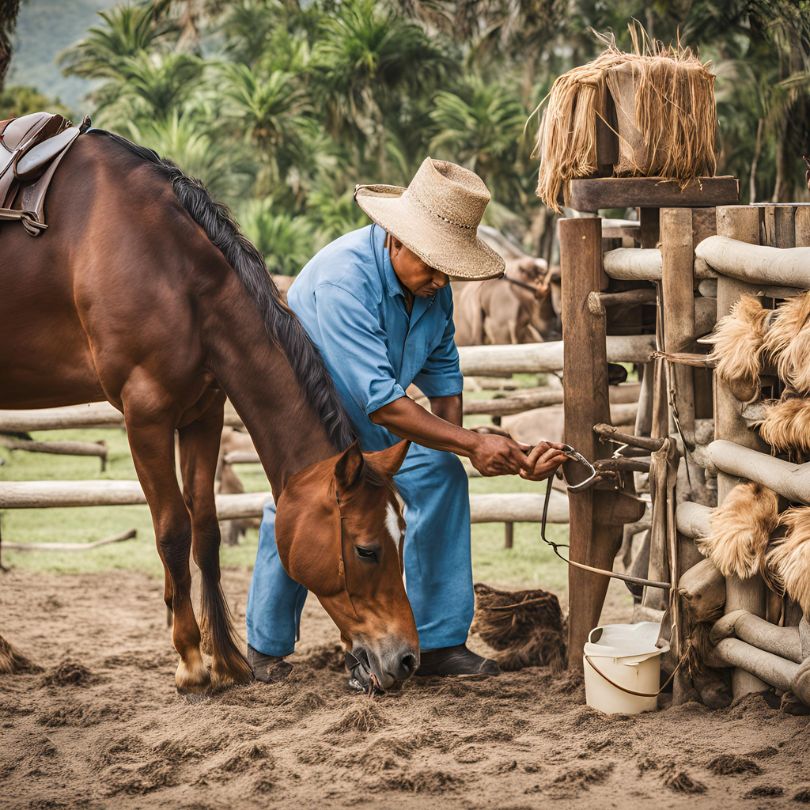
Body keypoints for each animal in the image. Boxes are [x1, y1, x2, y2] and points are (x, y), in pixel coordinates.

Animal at [0, 129, 416, 692]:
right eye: (367, 549)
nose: (407, 659)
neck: (164, 262)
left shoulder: (202, 414)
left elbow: (208, 530)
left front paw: (227, 662)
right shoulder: (146, 417)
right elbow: (174, 531)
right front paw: (191, 662)